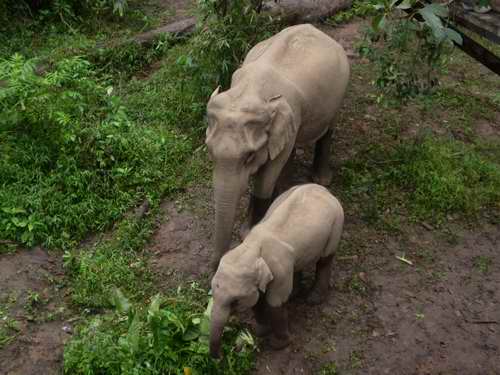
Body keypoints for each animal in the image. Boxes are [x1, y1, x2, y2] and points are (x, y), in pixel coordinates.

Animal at [205, 23, 350, 268]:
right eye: (211, 153)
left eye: (249, 156)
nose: (217, 264)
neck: (250, 92)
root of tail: (317, 29)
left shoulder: (291, 114)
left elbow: (266, 177)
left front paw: (247, 232)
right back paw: (285, 187)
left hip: (339, 92)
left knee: (327, 130)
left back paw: (321, 180)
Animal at [210, 184, 344, 358]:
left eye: (235, 302)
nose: (221, 356)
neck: (251, 248)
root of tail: (324, 190)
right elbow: (258, 299)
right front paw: (260, 332)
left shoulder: (280, 269)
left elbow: (275, 301)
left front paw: (277, 345)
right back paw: (294, 294)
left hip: (337, 222)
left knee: (325, 260)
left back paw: (314, 299)